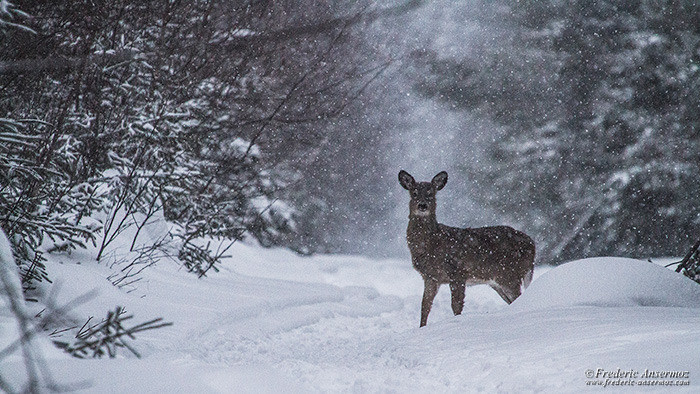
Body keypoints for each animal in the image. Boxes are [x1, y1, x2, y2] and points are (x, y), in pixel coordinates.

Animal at [400, 169, 536, 326]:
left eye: (431, 193)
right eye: (414, 193)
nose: (422, 205)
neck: (431, 244)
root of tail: (532, 244)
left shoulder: (457, 271)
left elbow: (456, 305)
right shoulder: (430, 277)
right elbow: (425, 306)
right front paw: (422, 327)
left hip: (510, 274)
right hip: (498, 281)